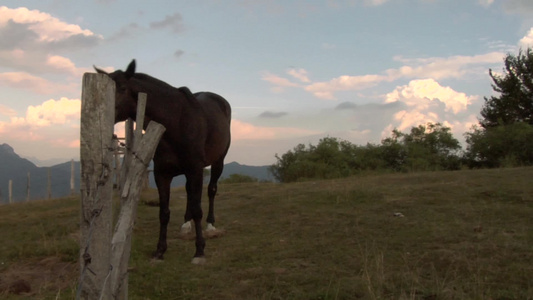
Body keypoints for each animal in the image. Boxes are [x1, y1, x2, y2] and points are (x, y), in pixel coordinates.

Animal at [95, 59, 231, 262]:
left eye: (122, 88)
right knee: (189, 192)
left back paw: (210, 225)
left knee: (211, 190)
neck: (176, 123)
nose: (103, 115)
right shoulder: (162, 174)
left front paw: (199, 250)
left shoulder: (195, 170)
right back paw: (186, 224)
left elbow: (198, 209)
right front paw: (160, 250)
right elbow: (164, 212)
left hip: (218, 162)